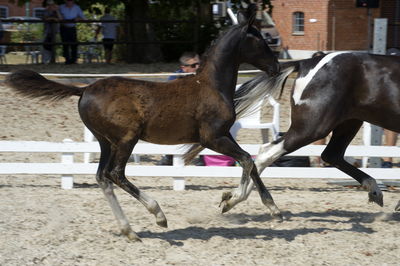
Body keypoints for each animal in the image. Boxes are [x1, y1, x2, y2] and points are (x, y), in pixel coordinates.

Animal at [5, 5, 282, 241]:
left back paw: (129, 231)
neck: (212, 85)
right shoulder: (212, 138)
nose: (277, 67)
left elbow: (251, 163)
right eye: (260, 39)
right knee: (116, 174)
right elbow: (247, 160)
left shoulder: (224, 135)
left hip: (106, 142)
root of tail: (84, 90)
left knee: (102, 177)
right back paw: (158, 214)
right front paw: (234, 200)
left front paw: (266, 206)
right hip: (127, 139)